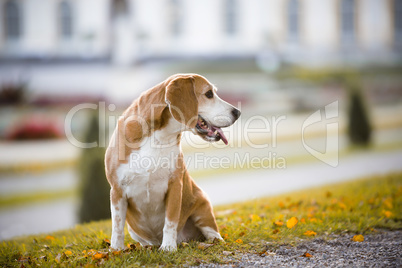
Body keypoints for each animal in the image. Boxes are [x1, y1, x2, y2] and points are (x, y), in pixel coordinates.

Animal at [105, 73, 240, 251]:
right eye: (209, 94)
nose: (238, 112)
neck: (158, 137)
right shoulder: (117, 190)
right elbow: (117, 225)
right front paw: (116, 250)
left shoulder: (175, 185)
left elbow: (170, 221)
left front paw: (168, 247)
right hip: (134, 231)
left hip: (202, 207)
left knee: (213, 233)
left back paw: (210, 241)